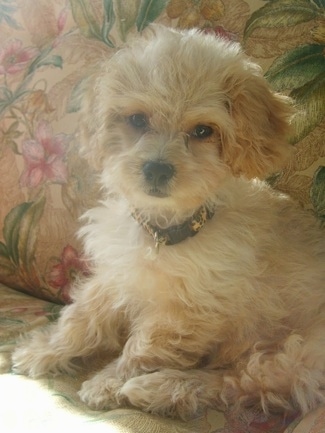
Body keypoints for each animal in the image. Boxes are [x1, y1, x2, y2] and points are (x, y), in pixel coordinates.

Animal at [11, 24, 322, 418]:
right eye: (137, 120)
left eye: (203, 131)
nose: (157, 169)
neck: (163, 232)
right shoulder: (115, 276)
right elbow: (80, 320)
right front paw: (43, 351)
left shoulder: (183, 314)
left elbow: (141, 349)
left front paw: (107, 383)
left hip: (300, 355)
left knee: (240, 383)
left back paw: (158, 388)